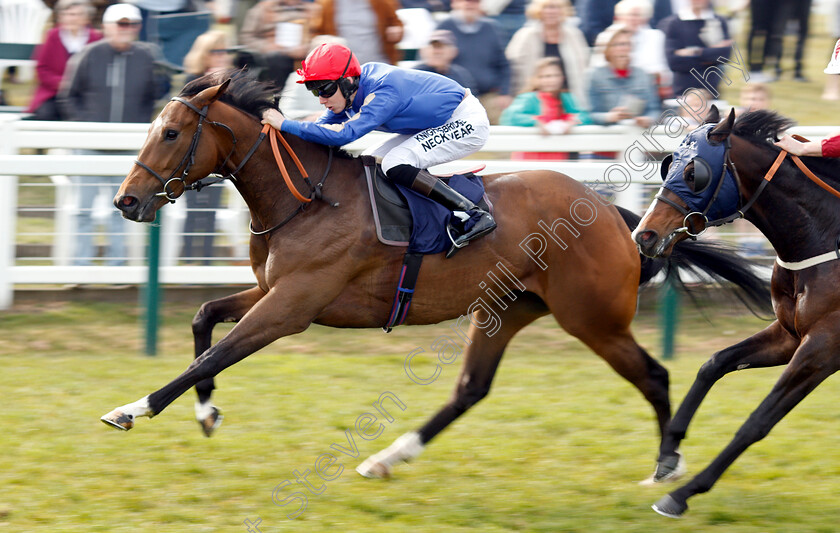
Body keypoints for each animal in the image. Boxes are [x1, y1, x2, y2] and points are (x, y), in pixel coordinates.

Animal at [100, 69, 768, 478]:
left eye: (171, 132)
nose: (126, 201)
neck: (306, 198)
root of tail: (614, 215)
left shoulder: (291, 307)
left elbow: (215, 353)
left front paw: (132, 408)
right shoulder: (273, 291)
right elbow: (203, 317)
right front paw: (206, 413)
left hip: (593, 318)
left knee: (654, 375)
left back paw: (668, 466)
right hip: (506, 309)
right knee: (470, 389)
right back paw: (387, 458)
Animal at [632, 106, 840, 516]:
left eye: (694, 174)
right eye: (668, 164)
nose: (644, 236)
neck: (824, 236)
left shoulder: (823, 347)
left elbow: (758, 421)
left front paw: (683, 494)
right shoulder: (789, 335)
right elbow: (714, 363)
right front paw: (667, 456)